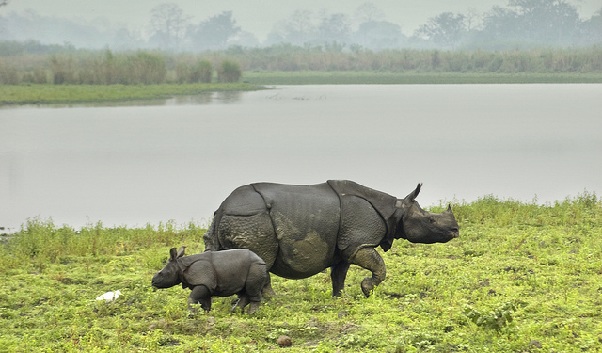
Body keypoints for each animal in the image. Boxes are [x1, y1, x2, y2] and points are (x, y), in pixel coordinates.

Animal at [203, 179, 460, 296]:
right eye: (431, 221)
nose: (456, 230)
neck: (396, 210)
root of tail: (224, 208)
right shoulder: (358, 243)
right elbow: (379, 265)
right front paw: (367, 290)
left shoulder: (344, 247)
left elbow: (339, 274)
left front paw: (340, 298)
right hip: (252, 219)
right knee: (260, 262)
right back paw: (271, 301)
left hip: (231, 219)